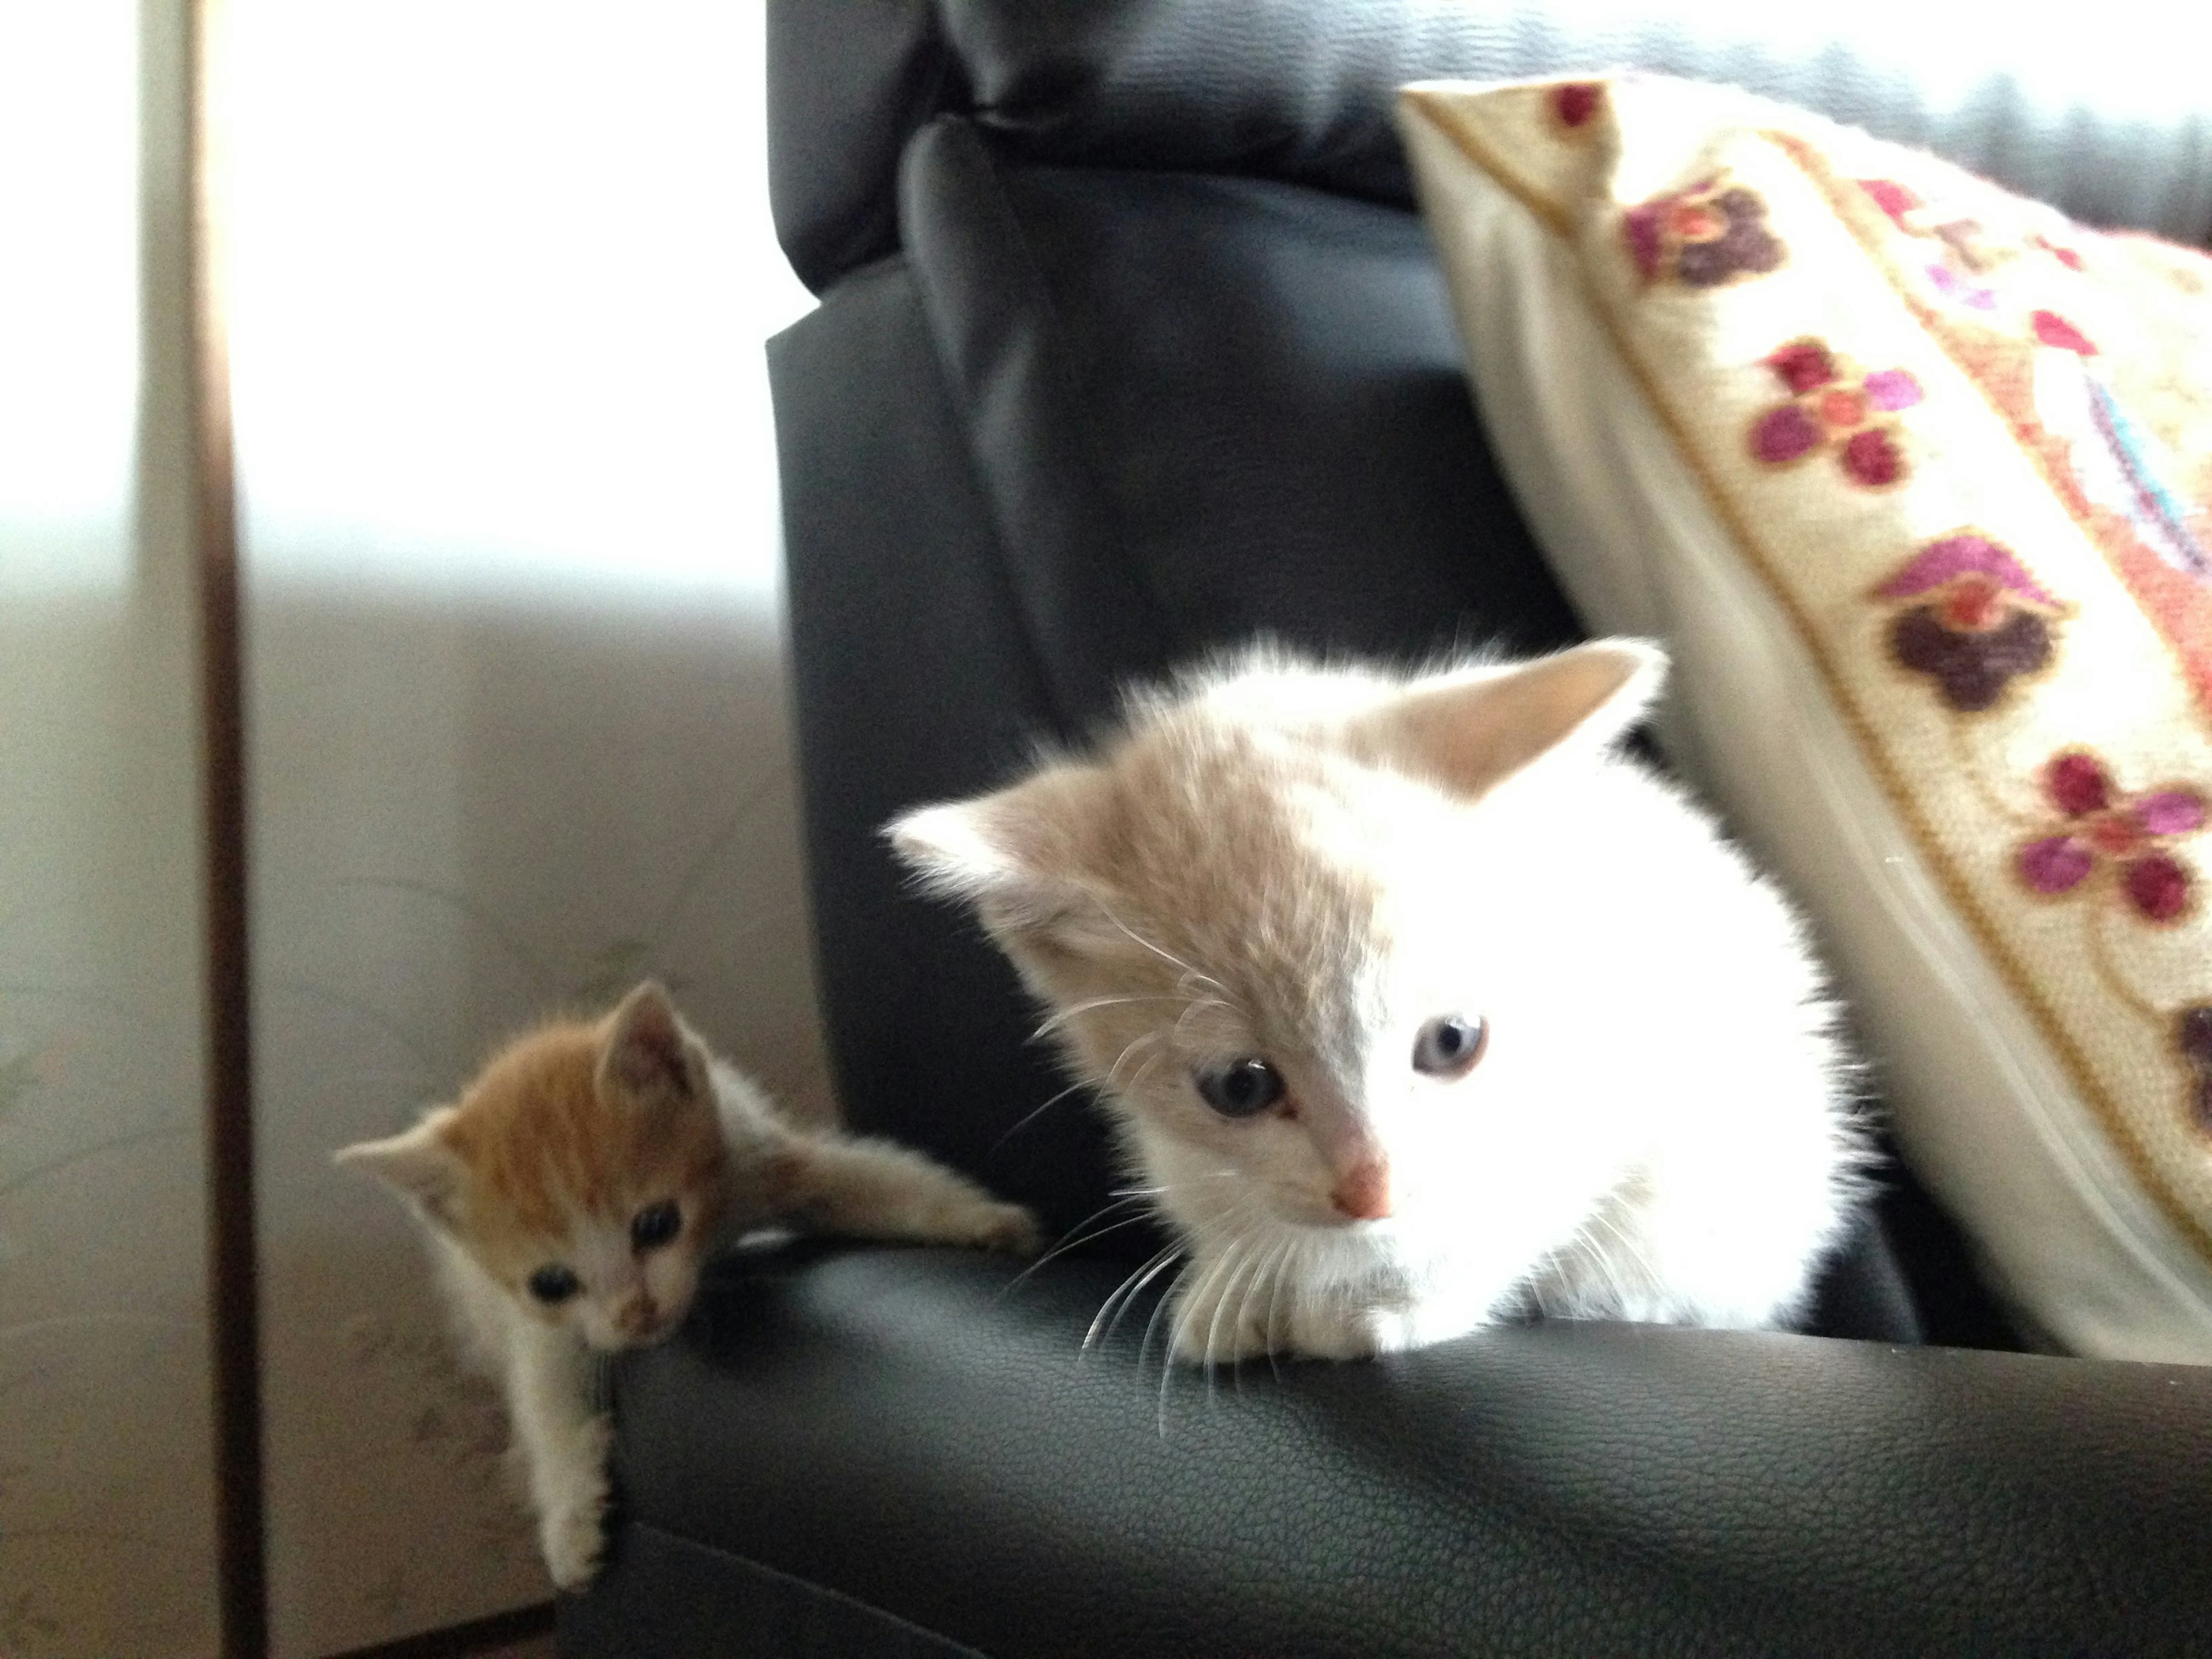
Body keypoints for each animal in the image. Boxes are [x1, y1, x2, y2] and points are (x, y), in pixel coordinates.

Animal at [338, 982, 1044, 1592]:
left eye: (657, 1225)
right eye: (551, 1282)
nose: (636, 1312)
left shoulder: (759, 1158)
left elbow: (877, 1182)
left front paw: (987, 1221)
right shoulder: (539, 1326)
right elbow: (547, 1397)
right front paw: (568, 1518)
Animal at [889, 641, 1858, 1371]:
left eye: (1454, 1041)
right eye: (1239, 1086)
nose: (1372, 1188)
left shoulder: (1631, 1078)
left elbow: (1531, 1197)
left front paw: (1396, 1298)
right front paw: (1237, 1282)